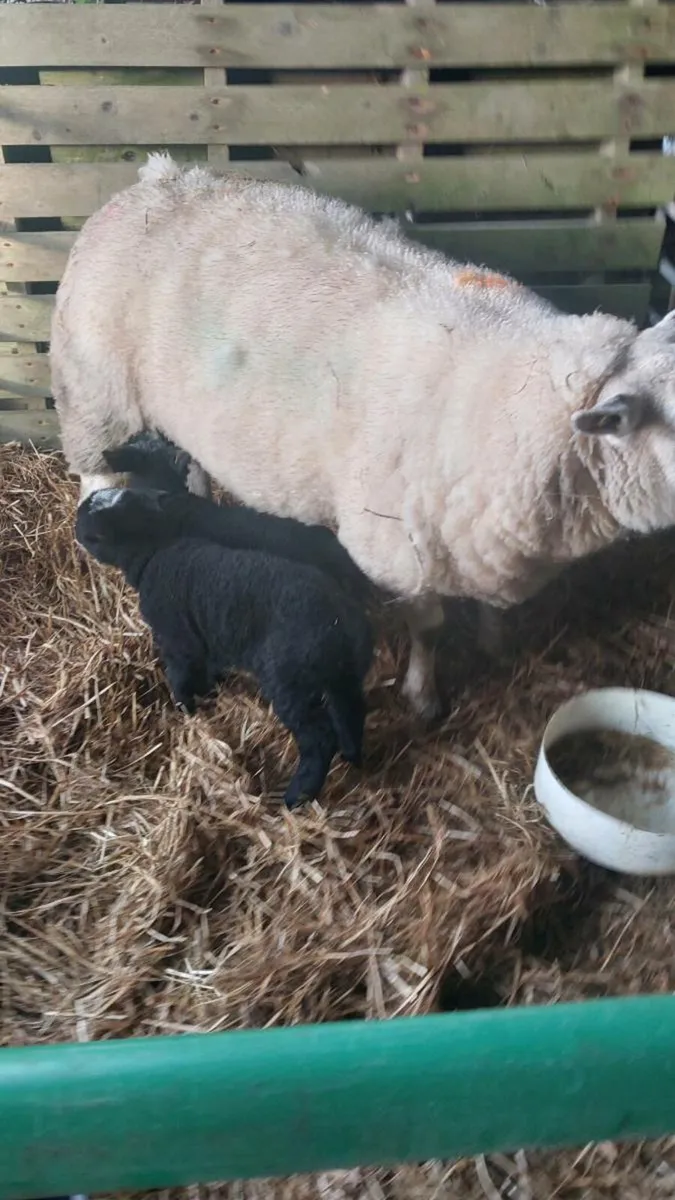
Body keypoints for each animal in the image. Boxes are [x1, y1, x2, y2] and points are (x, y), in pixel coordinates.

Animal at [75, 487, 374, 809]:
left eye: (96, 534)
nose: (78, 518)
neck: (155, 551)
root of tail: (344, 621)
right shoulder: (207, 636)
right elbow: (208, 666)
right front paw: (210, 690)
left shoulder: (177, 638)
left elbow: (180, 676)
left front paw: (186, 710)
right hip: (341, 676)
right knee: (351, 710)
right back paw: (352, 756)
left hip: (290, 680)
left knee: (319, 738)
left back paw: (297, 795)